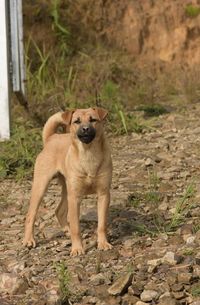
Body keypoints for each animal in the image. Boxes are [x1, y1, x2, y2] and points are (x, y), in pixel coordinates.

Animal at [23, 107, 112, 254]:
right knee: (31, 215)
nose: (86, 129)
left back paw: (67, 231)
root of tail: (51, 138)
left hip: (66, 190)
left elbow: (102, 224)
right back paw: (28, 240)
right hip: (41, 187)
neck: (88, 154)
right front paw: (77, 249)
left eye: (93, 119)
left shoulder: (103, 195)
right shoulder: (75, 198)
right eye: (77, 121)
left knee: (59, 211)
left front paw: (103, 243)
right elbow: (76, 227)